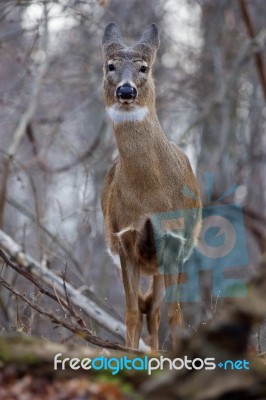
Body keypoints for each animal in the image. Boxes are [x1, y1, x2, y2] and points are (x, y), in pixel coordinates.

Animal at [101, 23, 201, 352]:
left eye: (144, 67)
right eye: (110, 66)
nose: (126, 90)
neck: (149, 196)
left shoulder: (175, 240)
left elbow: (176, 315)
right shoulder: (124, 238)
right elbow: (131, 313)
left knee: (156, 311)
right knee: (146, 310)